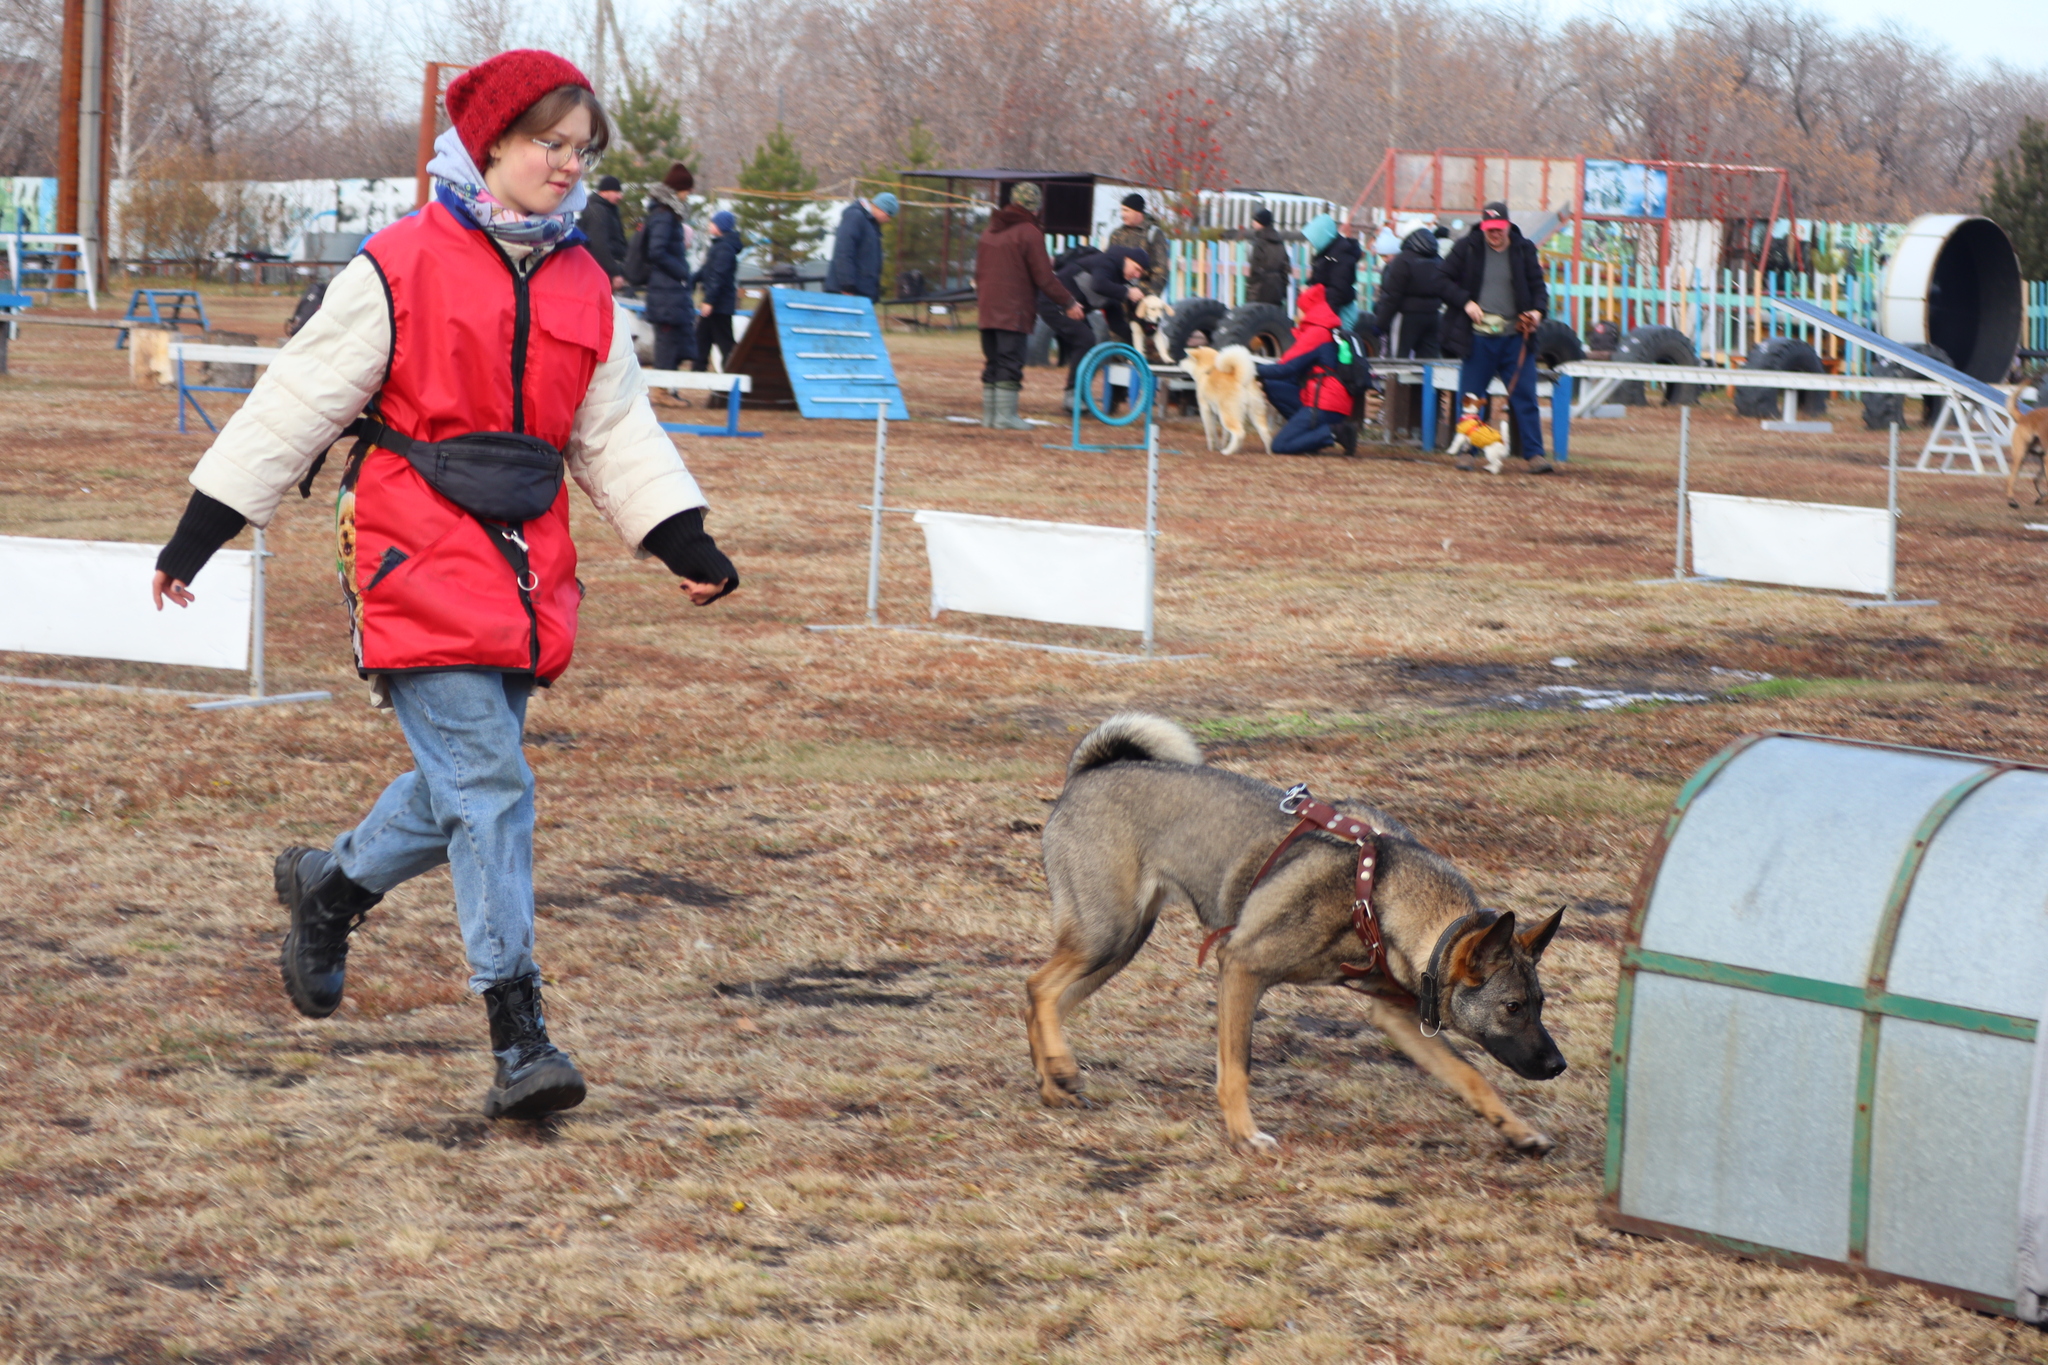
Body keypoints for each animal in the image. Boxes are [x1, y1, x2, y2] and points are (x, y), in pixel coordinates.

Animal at [1024, 716, 1564, 1154]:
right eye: (1512, 1006)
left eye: (1540, 1003)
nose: (1558, 1065)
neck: (1378, 894)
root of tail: (1086, 775)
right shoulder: (1241, 968)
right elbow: (1236, 1068)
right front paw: (1244, 1134)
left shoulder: (1398, 1018)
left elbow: (1471, 1076)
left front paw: (1518, 1131)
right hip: (1106, 935)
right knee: (1039, 988)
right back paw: (1061, 1069)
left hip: (1118, 946)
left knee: (1044, 1001)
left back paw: (1053, 1080)